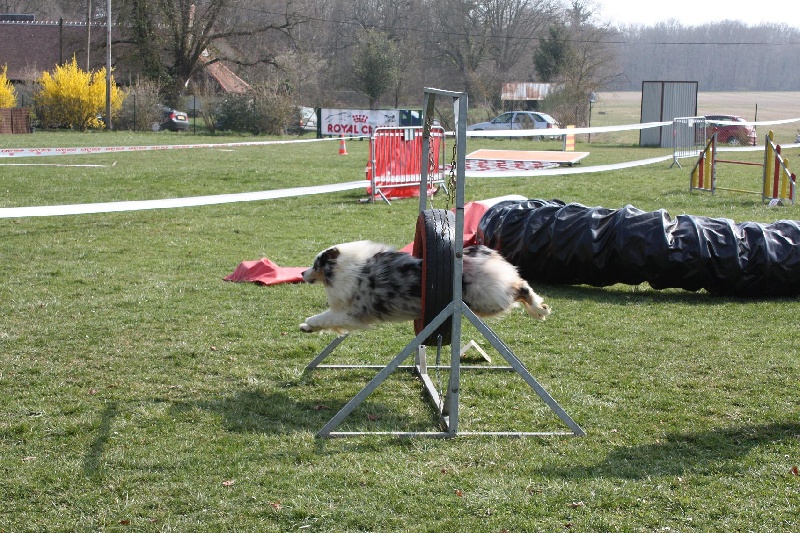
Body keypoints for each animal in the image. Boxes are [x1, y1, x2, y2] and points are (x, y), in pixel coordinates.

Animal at [300, 241, 552, 332]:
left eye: (315, 265)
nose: (302, 273)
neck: (344, 268)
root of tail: (482, 251)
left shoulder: (353, 313)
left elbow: (324, 317)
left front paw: (307, 324)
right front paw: (308, 327)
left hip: (485, 300)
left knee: (521, 288)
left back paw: (539, 310)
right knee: (520, 286)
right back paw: (539, 309)